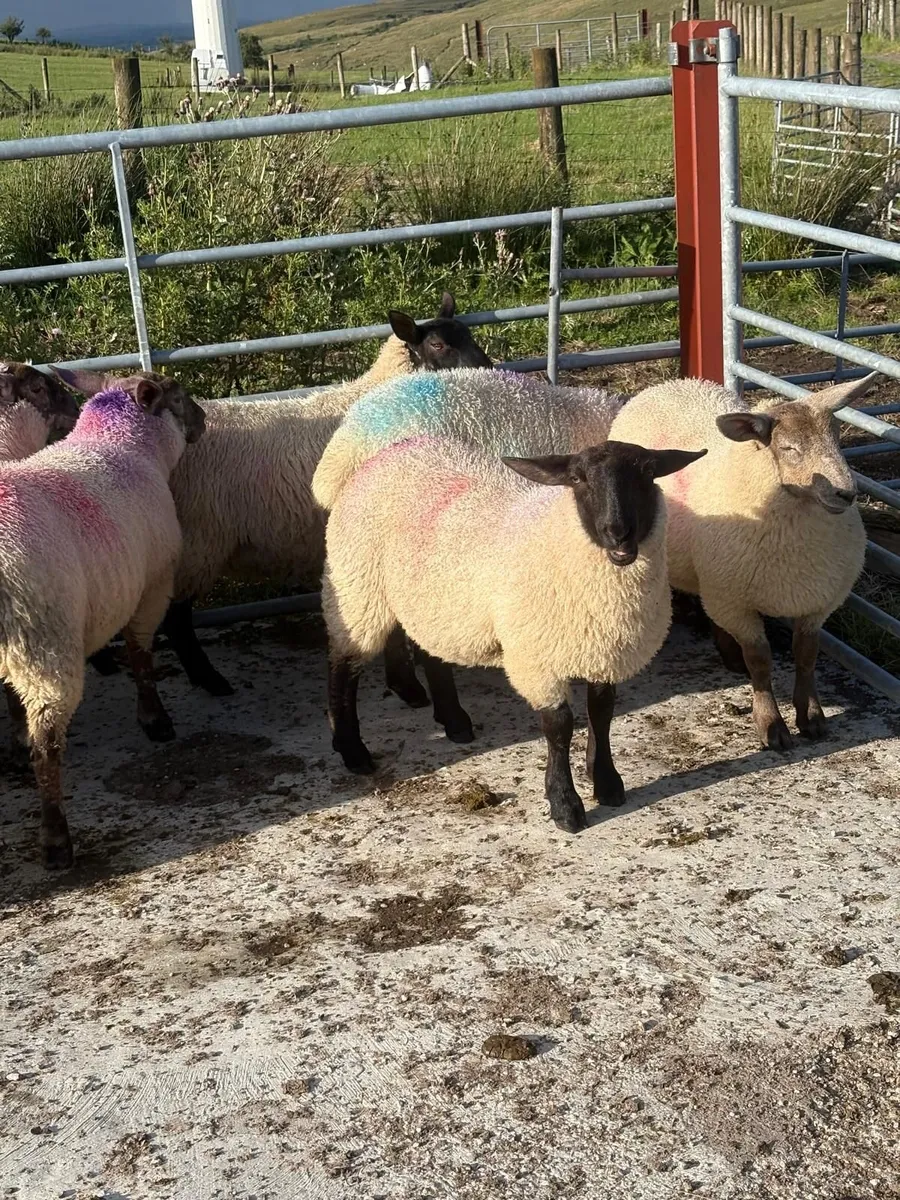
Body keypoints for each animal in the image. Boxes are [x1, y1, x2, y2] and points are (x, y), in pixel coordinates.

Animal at [1, 371, 205, 868]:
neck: (119, 443)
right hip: (45, 641)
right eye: (177, 397)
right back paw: (56, 840)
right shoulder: (152, 584)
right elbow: (140, 651)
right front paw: (154, 719)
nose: (205, 420)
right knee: (48, 743)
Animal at [62, 294, 492, 704]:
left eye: (470, 336)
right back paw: (211, 681)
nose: (490, 371)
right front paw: (409, 688)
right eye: (438, 345)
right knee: (177, 620)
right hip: (195, 544)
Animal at [322, 434, 705, 832]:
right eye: (577, 478)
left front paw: (607, 783)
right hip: (356, 587)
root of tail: (396, 447)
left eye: (648, 473)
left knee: (432, 652)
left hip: (434, 601)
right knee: (343, 664)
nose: (617, 533)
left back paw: (453, 720)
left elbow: (601, 714)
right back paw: (352, 750)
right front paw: (565, 806)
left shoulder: (604, 650)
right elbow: (559, 727)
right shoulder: (537, 660)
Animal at [609, 373, 878, 750]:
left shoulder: (817, 601)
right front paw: (771, 725)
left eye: (838, 438)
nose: (847, 493)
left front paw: (811, 716)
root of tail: (670, 383)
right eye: (789, 448)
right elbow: (760, 661)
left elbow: (806, 656)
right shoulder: (736, 602)